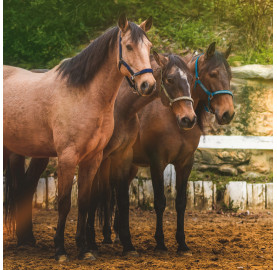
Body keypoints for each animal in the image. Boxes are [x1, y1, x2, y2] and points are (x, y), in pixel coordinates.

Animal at [3, 14, 155, 262]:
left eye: (149, 47)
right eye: (129, 46)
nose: (148, 85)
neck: (84, 95)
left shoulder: (93, 158)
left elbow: (84, 202)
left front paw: (84, 249)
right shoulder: (67, 157)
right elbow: (65, 203)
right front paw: (60, 250)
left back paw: (27, 241)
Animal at [104, 42, 234, 253]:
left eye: (229, 75)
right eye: (213, 74)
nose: (228, 113)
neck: (173, 118)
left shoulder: (185, 163)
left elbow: (180, 203)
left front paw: (182, 243)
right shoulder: (157, 162)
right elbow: (160, 202)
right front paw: (160, 242)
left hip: (130, 166)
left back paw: (117, 235)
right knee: (106, 194)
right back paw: (107, 235)